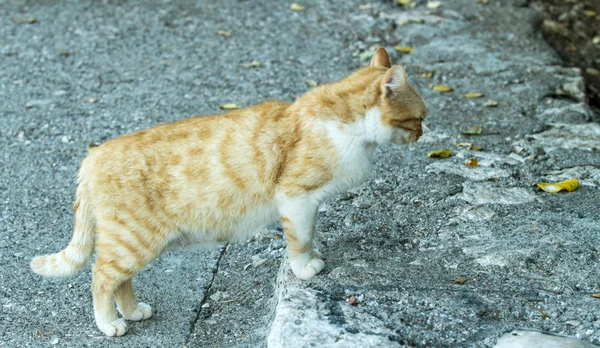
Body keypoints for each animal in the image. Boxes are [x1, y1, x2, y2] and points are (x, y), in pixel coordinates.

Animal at [30, 47, 426, 336]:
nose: (425, 132)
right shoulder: (297, 198)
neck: (346, 123)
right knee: (101, 277)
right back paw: (109, 323)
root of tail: (92, 156)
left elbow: (307, 236)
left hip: (133, 244)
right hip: (133, 240)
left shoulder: (305, 203)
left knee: (121, 281)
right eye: (419, 117)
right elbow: (300, 241)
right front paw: (305, 268)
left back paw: (132, 311)